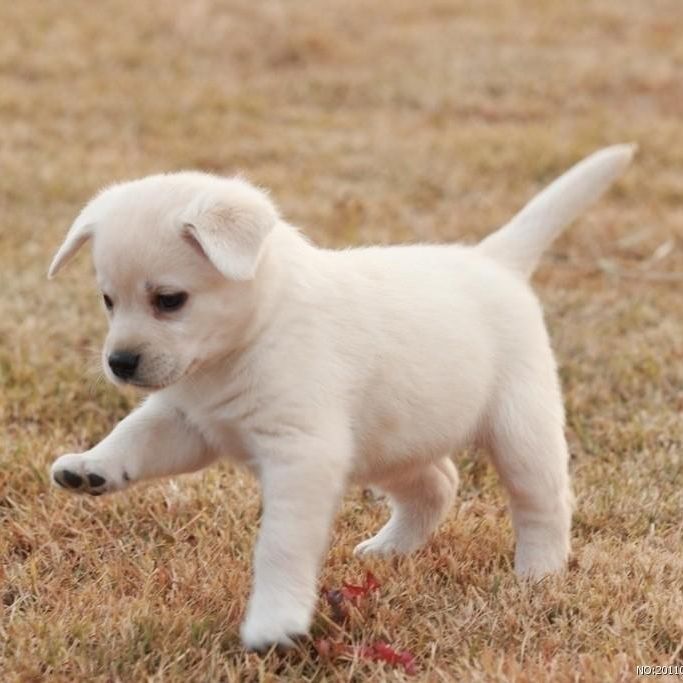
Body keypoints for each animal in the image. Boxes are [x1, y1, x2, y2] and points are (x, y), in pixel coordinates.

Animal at [48, 143, 636, 648]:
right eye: (107, 300)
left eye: (169, 300)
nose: (119, 363)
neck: (256, 332)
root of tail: (494, 261)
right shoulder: (188, 424)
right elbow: (132, 436)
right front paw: (92, 467)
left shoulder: (302, 456)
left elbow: (280, 546)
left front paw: (275, 621)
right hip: (390, 446)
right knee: (438, 485)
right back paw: (391, 549)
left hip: (520, 431)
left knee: (543, 503)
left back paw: (539, 574)